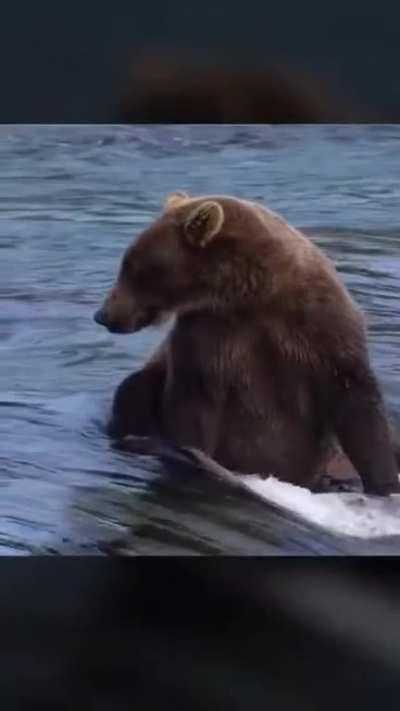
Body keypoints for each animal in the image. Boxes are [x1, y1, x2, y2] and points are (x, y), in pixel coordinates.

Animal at [94, 191, 400, 496]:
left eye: (133, 268)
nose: (103, 314)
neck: (250, 294)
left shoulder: (318, 327)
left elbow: (357, 400)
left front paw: (384, 484)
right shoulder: (209, 335)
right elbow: (194, 402)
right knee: (133, 390)